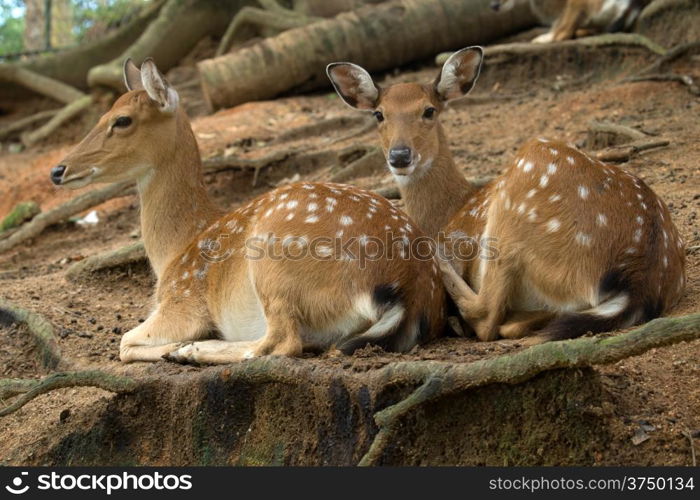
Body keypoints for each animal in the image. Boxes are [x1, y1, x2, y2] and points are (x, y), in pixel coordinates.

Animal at [49, 57, 446, 364]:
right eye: (105, 114)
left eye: (123, 120)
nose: (57, 170)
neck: (175, 251)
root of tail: (408, 289)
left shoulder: (183, 302)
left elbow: (125, 341)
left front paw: (178, 346)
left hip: (275, 261)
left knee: (281, 342)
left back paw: (191, 350)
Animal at [326, 46, 684, 344]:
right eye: (379, 114)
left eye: (429, 111)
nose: (400, 156)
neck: (452, 208)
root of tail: (641, 276)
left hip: (520, 201)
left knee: (487, 315)